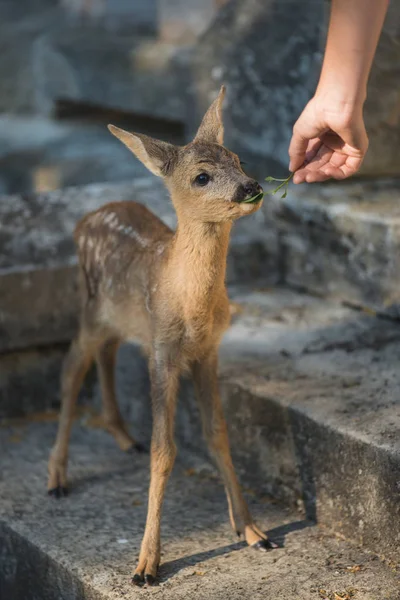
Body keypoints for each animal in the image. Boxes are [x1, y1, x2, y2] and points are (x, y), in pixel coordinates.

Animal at [47, 86, 276, 584]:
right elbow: (164, 450)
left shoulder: (208, 351)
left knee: (107, 354)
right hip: (90, 308)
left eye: (239, 158)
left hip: (120, 319)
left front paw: (252, 531)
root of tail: (86, 218)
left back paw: (121, 435)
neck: (190, 305)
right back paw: (56, 479)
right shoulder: (162, 351)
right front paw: (146, 566)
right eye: (202, 176)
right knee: (71, 369)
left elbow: (217, 433)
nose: (252, 187)